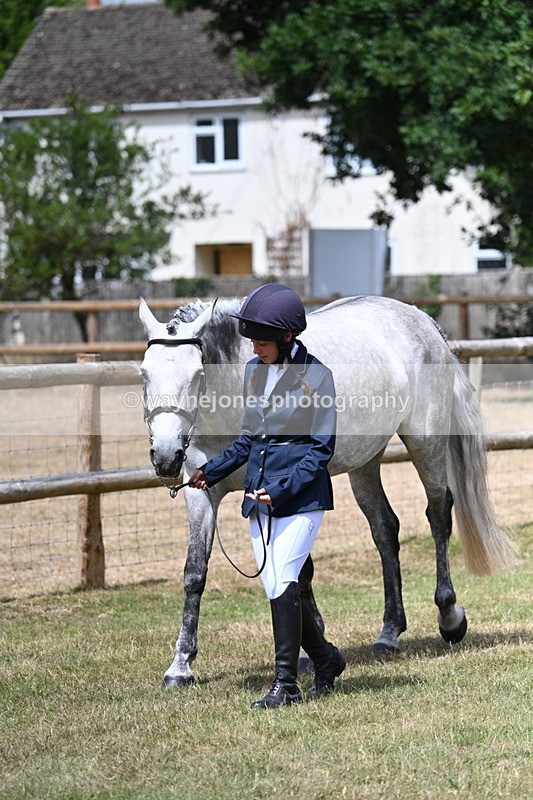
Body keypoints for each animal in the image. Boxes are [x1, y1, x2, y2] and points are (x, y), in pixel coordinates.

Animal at [139, 294, 517, 687]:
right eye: (144, 374)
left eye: (197, 375)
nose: (165, 456)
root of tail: (422, 320)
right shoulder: (202, 492)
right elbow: (196, 572)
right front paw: (180, 665)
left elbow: (296, 570)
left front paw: (309, 650)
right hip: (366, 462)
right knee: (385, 530)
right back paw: (389, 632)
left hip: (426, 443)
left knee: (439, 514)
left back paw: (449, 617)